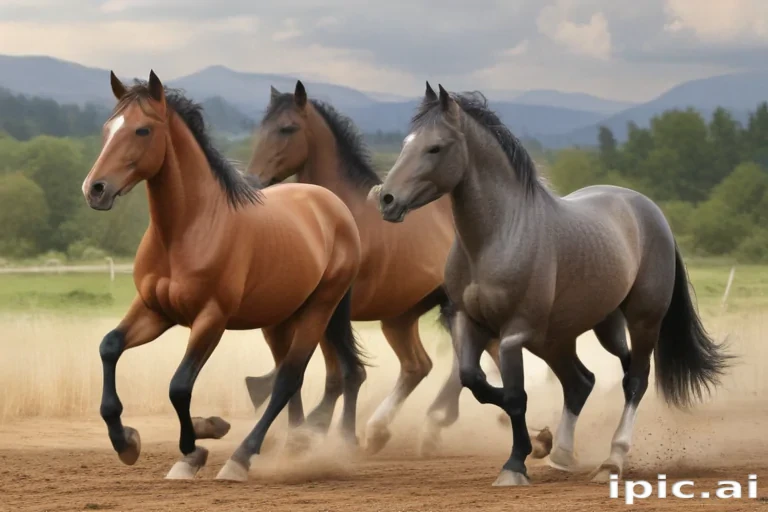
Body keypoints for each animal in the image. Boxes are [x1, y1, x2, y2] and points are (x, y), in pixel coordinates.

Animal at [80, 70, 367, 482]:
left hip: (320, 310)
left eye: (142, 130)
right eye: (108, 128)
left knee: (290, 379)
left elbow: (179, 386)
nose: (95, 189)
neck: (185, 230)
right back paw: (293, 445)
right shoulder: (155, 311)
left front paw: (193, 449)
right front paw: (128, 441)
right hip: (280, 320)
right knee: (301, 382)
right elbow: (109, 347)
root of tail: (334, 208)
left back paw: (243, 458)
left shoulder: (211, 319)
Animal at [241, 80, 553, 458]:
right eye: (262, 128)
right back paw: (386, 429)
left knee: (468, 362)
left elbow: (336, 373)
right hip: (401, 317)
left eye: (287, 128)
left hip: (446, 309)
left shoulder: (330, 311)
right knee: (421, 366)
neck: (338, 218)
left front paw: (316, 430)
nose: (252, 181)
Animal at [371, 83, 730, 486]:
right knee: (583, 381)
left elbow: (515, 396)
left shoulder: (514, 334)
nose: (386, 199)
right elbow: (474, 381)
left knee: (634, 379)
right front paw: (539, 442)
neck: (498, 237)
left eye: (435, 147)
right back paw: (561, 454)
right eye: (406, 143)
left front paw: (516, 463)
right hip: (576, 333)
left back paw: (611, 461)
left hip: (640, 320)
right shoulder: (468, 321)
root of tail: (650, 212)